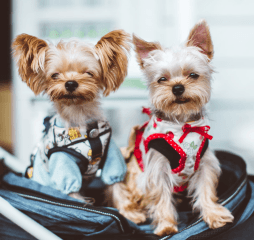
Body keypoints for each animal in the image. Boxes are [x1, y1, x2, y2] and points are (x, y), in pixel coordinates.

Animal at [11, 30, 131, 201]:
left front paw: (129, 209)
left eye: (89, 73)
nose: (70, 83)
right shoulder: (64, 164)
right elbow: (73, 194)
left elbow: (117, 187)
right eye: (55, 75)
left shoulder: (111, 157)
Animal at [108, 20, 233, 234]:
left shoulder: (204, 164)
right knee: (120, 197)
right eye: (162, 79)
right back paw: (133, 215)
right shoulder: (157, 169)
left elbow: (206, 189)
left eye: (193, 75)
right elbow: (161, 197)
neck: (183, 123)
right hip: (125, 177)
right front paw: (166, 226)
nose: (177, 87)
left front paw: (214, 214)